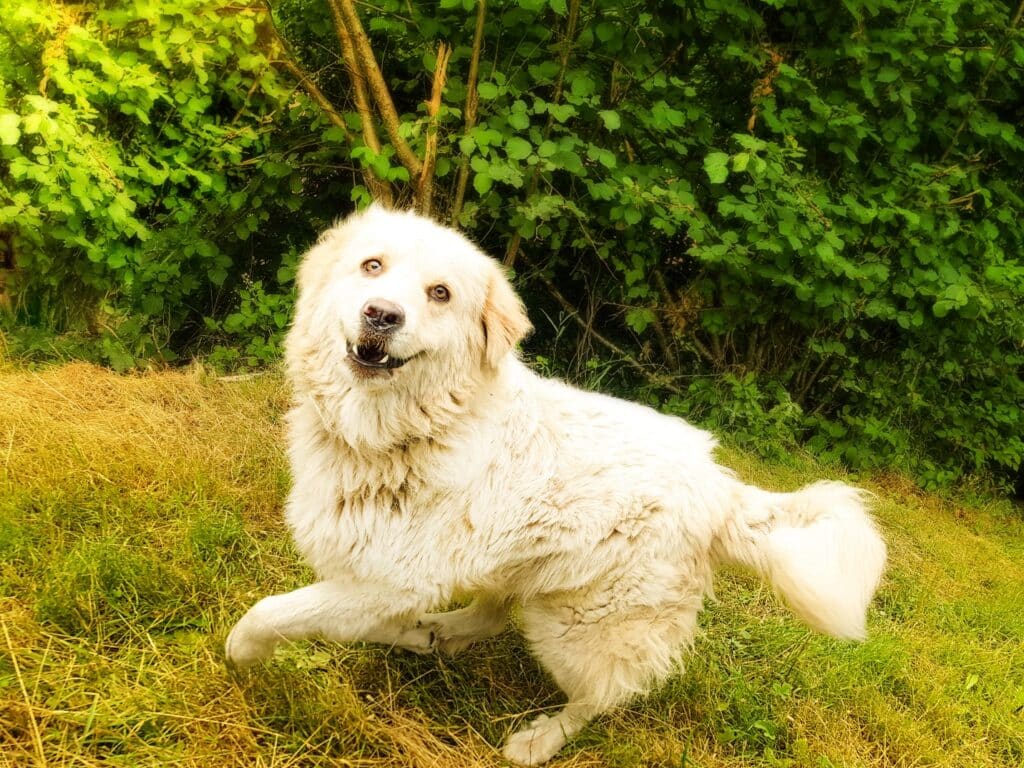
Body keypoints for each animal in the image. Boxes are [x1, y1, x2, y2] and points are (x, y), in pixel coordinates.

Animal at [226, 204, 888, 765]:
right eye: (372, 266)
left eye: (440, 294)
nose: (382, 314)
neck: (406, 433)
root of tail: (722, 489)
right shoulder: (388, 581)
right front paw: (410, 636)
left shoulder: (387, 580)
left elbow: (268, 613)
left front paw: (241, 657)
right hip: (521, 564)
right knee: (491, 618)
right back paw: (443, 634)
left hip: (576, 626)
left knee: (602, 695)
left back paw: (539, 740)